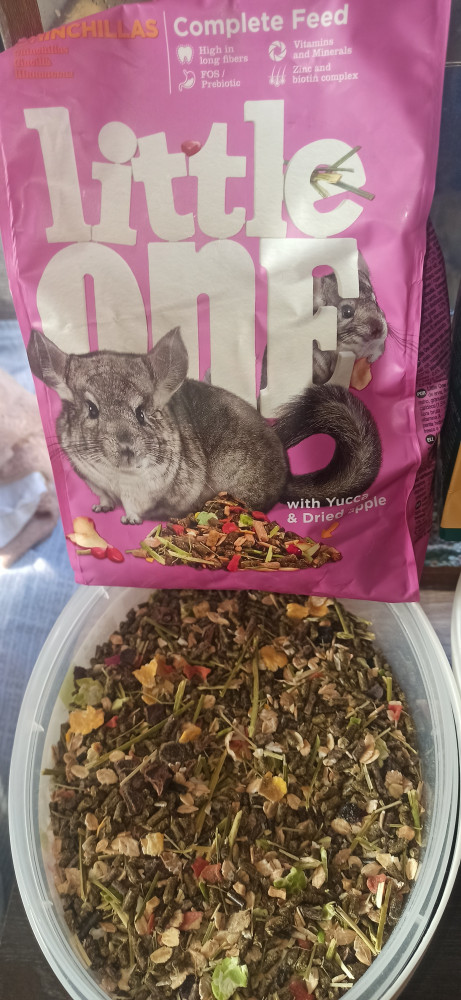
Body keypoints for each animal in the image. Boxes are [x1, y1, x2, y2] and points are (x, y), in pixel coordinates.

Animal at [27, 326, 381, 525]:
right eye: (91, 409)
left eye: (142, 412)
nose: (128, 450)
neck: (115, 475)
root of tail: (286, 479)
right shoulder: (92, 481)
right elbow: (102, 498)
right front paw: (101, 510)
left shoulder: (144, 489)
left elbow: (133, 505)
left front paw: (129, 520)